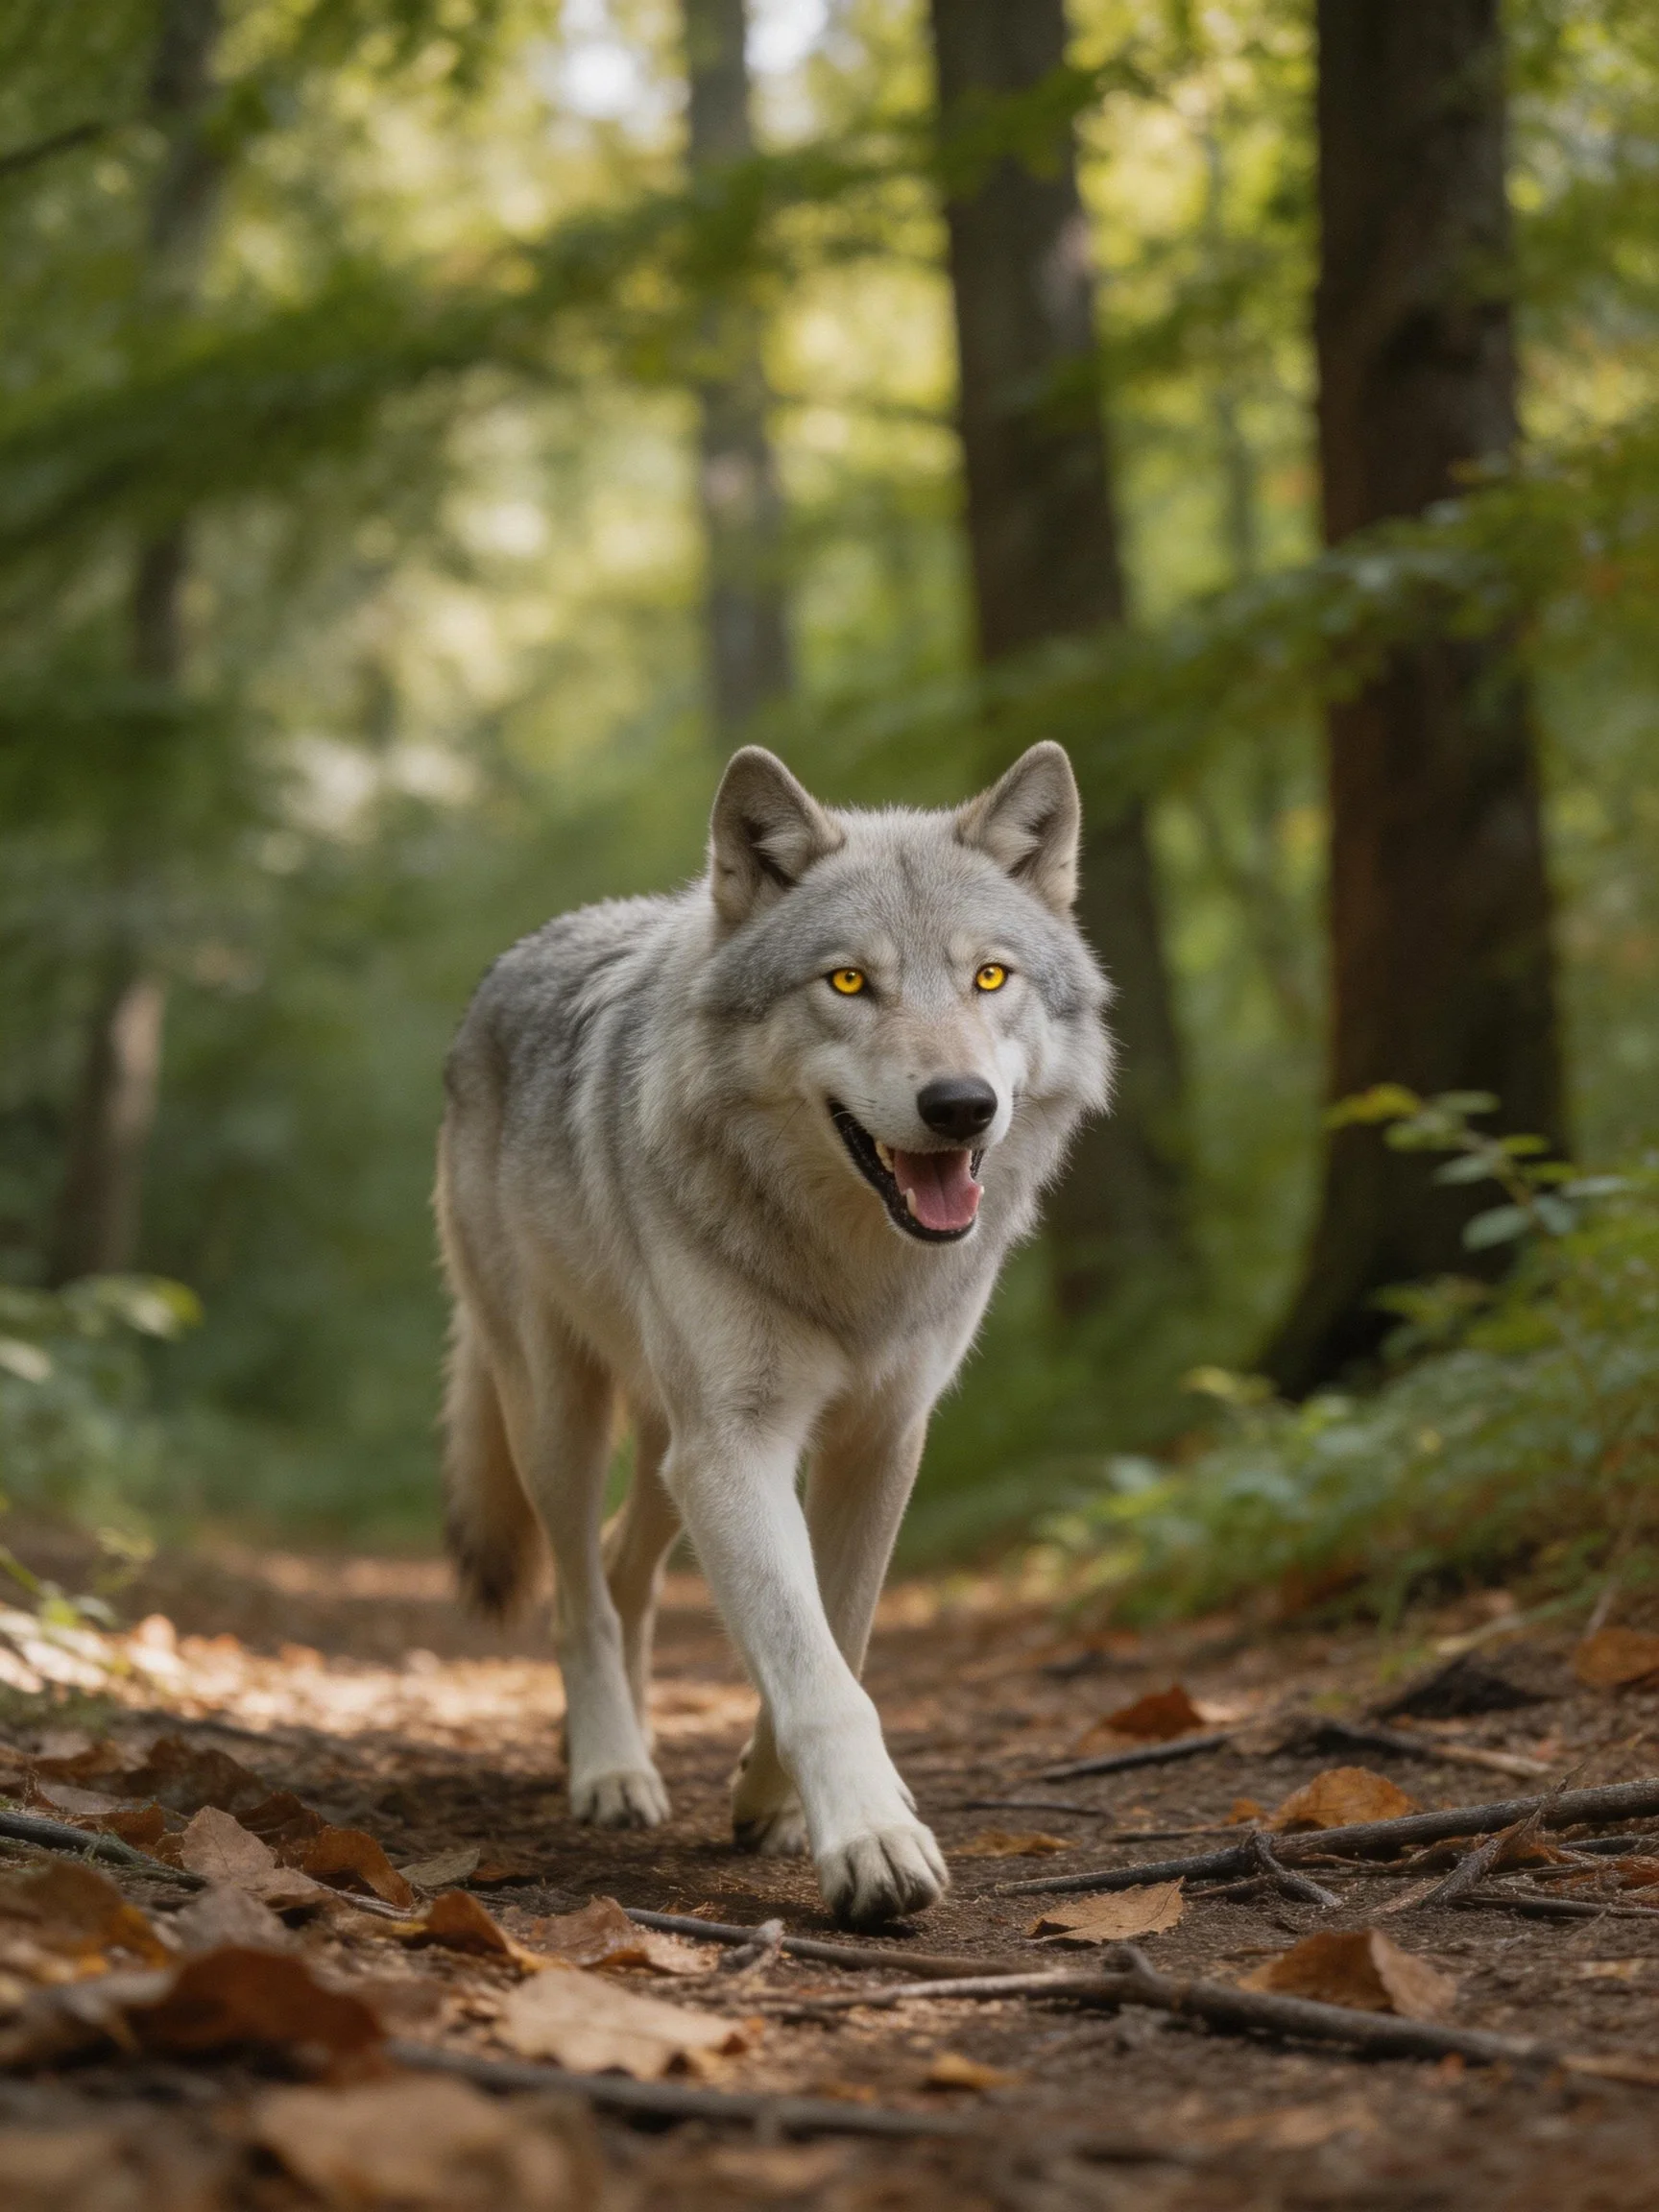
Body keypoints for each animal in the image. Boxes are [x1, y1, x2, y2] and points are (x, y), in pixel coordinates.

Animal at [436, 741, 1111, 1926]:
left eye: (990, 978)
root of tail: (511, 960)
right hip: (564, 1419)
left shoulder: (877, 1441)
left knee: (624, 1568)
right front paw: (875, 1841)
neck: (852, 1270)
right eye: (847, 982)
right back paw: (610, 1767)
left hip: (669, 1453)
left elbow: (834, 1633)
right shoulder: (739, 1447)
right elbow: (813, 1667)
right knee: (578, 1596)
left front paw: (775, 1801)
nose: (960, 1105)